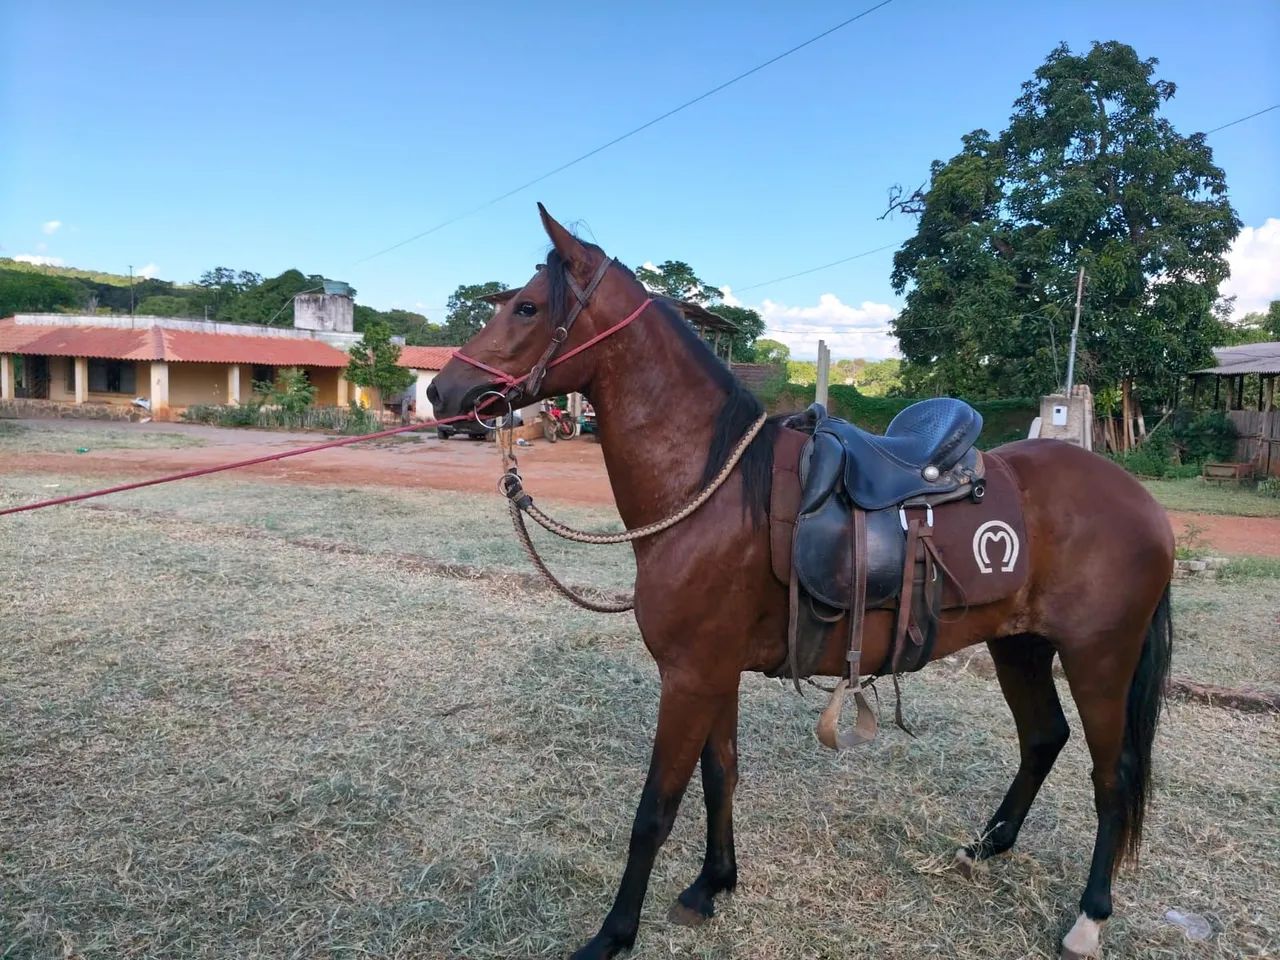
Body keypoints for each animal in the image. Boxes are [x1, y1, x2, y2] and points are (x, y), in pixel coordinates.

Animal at [427, 205, 1174, 960]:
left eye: (525, 306)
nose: (440, 391)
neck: (714, 488)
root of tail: (1140, 500)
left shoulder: (689, 675)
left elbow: (655, 810)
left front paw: (613, 935)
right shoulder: (713, 673)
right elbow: (720, 775)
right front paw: (713, 883)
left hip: (1098, 658)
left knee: (1112, 777)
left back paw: (1090, 916)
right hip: (1019, 646)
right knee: (1044, 739)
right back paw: (986, 847)